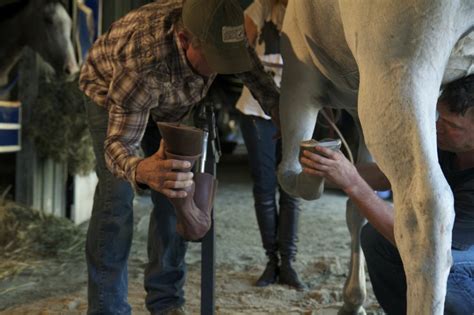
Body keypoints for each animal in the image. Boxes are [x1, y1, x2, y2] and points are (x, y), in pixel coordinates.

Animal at [278, 1, 474, 314]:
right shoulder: (358, 103)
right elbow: (358, 202)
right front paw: (353, 300)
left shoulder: (299, 75)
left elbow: (288, 173)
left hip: (400, 70)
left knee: (426, 209)